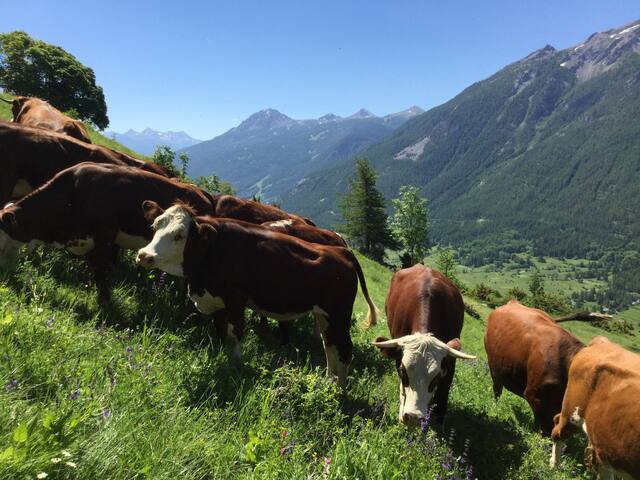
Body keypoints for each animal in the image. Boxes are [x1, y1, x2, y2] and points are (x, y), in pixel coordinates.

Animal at [488, 300, 608, 436]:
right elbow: (544, 427)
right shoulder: (535, 396)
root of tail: (512, 302)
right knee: (497, 389)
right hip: (493, 368)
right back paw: (495, 406)